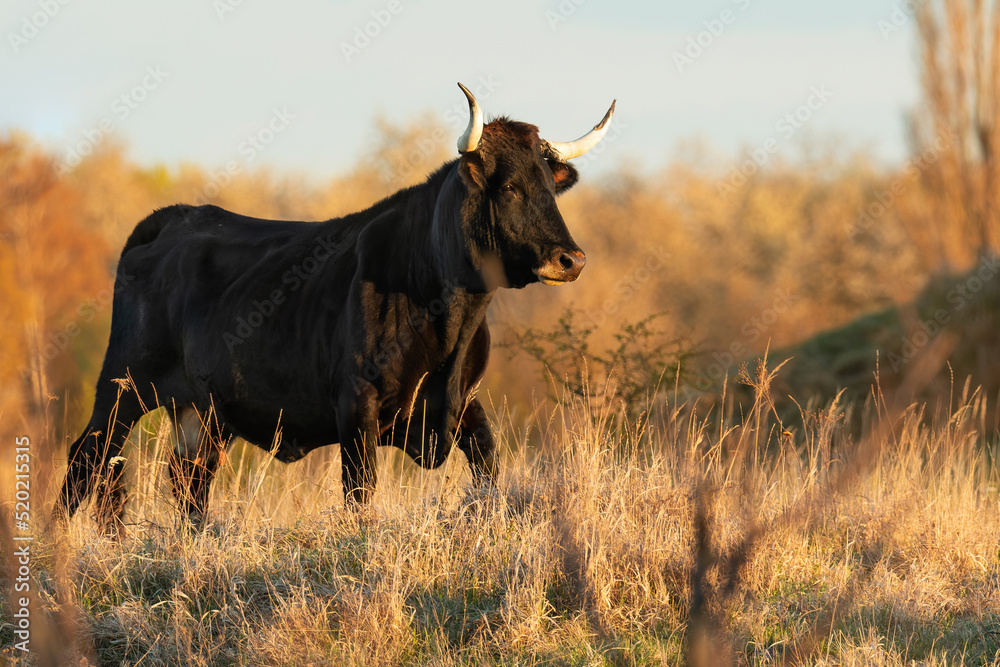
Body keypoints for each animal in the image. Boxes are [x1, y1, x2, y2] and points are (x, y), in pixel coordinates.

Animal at [54, 86, 616, 532]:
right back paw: (57, 549)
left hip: (203, 412)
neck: (450, 323)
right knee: (88, 457)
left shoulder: (465, 404)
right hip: (122, 387)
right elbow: (360, 494)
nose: (571, 259)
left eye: (550, 188)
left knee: (187, 476)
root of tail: (177, 217)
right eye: (511, 187)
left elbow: (489, 472)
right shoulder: (355, 404)